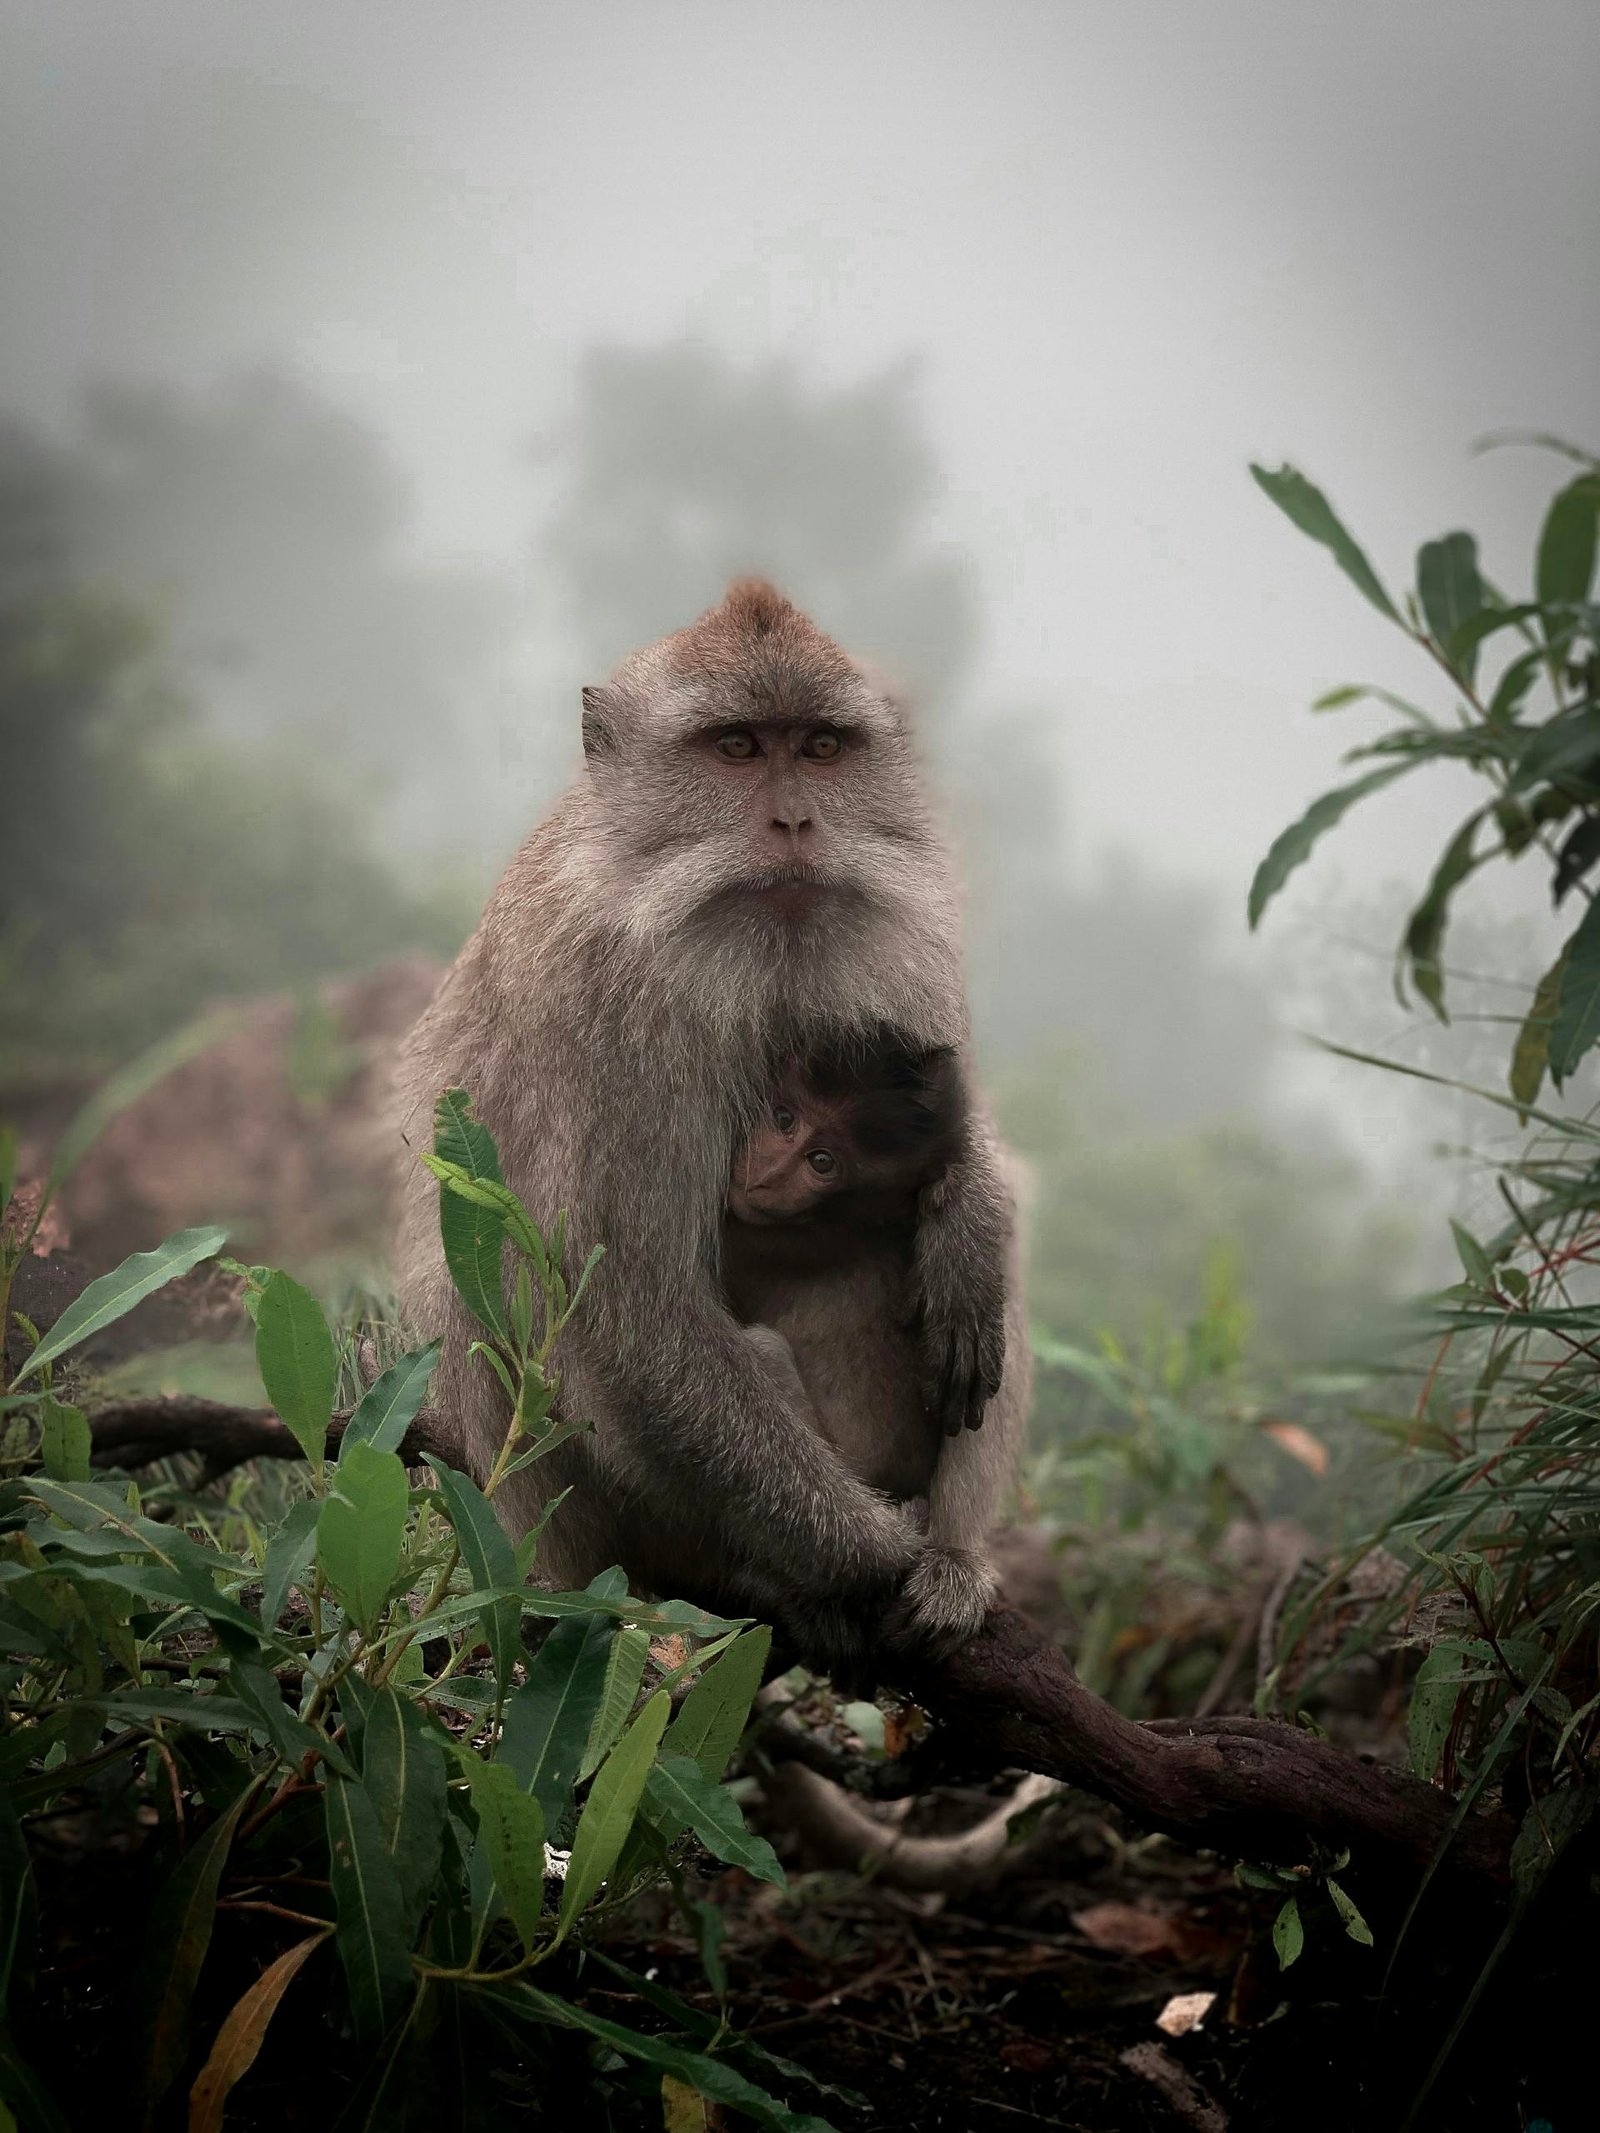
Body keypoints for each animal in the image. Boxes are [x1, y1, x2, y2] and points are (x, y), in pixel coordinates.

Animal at [396, 579, 1026, 1677]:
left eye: (820, 746)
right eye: (734, 747)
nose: (795, 818)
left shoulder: (903, 937)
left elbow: (955, 1132)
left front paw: (971, 1227)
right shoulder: (615, 996)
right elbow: (630, 1294)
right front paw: (868, 1554)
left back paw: (954, 1560)